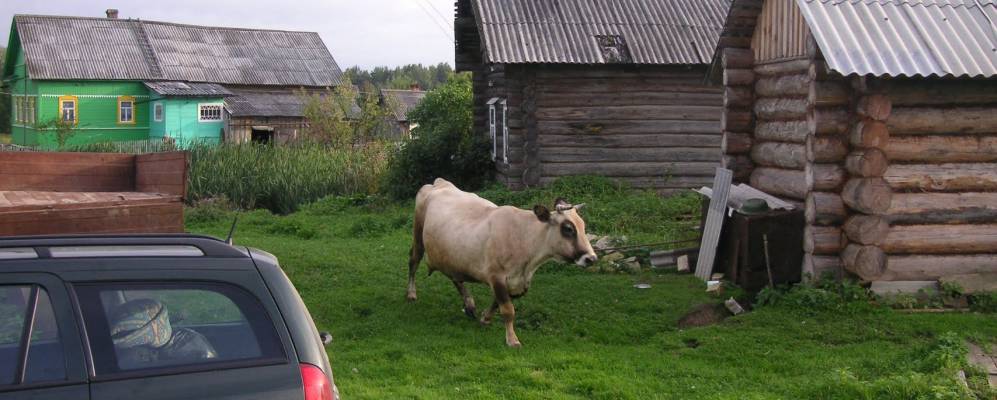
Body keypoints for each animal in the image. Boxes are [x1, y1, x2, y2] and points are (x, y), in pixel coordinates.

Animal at [406, 178, 596, 346]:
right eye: (568, 229)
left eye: (582, 226)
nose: (591, 258)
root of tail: (439, 183)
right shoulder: (496, 276)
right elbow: (508, 310)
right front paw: (512, 340)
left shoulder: (519, 282)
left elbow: (498, 303)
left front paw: (485, 317)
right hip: (418, 234)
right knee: (413, 261)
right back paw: (411, 293)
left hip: (452, 255)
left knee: (456, 277)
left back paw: (469, 304)